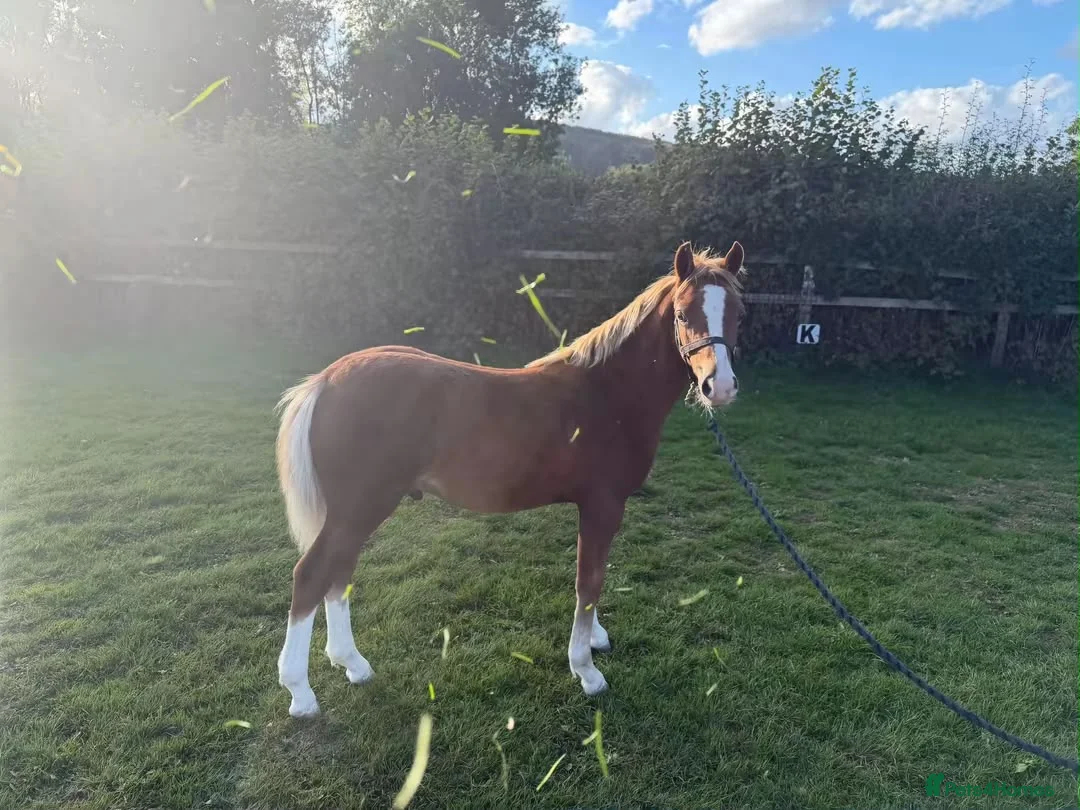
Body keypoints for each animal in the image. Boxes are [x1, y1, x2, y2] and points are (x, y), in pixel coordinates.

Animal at [274, 240, 746, 717]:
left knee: (339, 573)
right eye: (683, 314)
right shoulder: (603, 505)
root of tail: (327, 380)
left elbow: (596, 575)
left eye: (739, 313)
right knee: (311, 575)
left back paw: (352, 664)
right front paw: (586, 670)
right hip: (361, 506)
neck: (607, 393)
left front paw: (595, 640)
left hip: (354, 512)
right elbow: (588, 582)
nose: (719, 387)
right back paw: (300, 693)